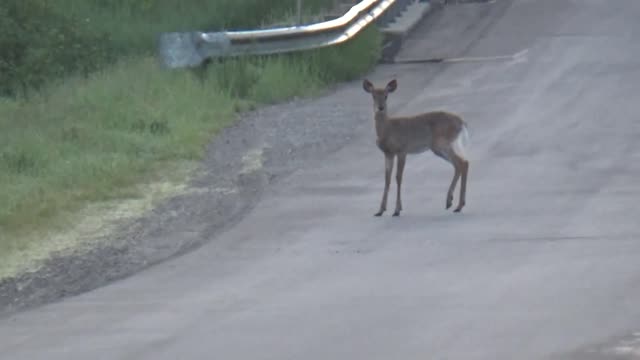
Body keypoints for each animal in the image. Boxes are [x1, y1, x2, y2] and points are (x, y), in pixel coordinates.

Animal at [362, 78, 468, 217]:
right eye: (373, 96)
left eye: (386, 96)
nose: (381, 108)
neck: (387, 129)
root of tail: (461, 122)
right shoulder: (388, 153)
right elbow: (387, 178)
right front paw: (380, 210)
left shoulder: (402, 150)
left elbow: (398, 177)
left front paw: (397, 210)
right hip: (440, 147)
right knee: (460, 164)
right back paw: (452, 202)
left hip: (441, 143)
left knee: (462, 163)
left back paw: (457, 205)